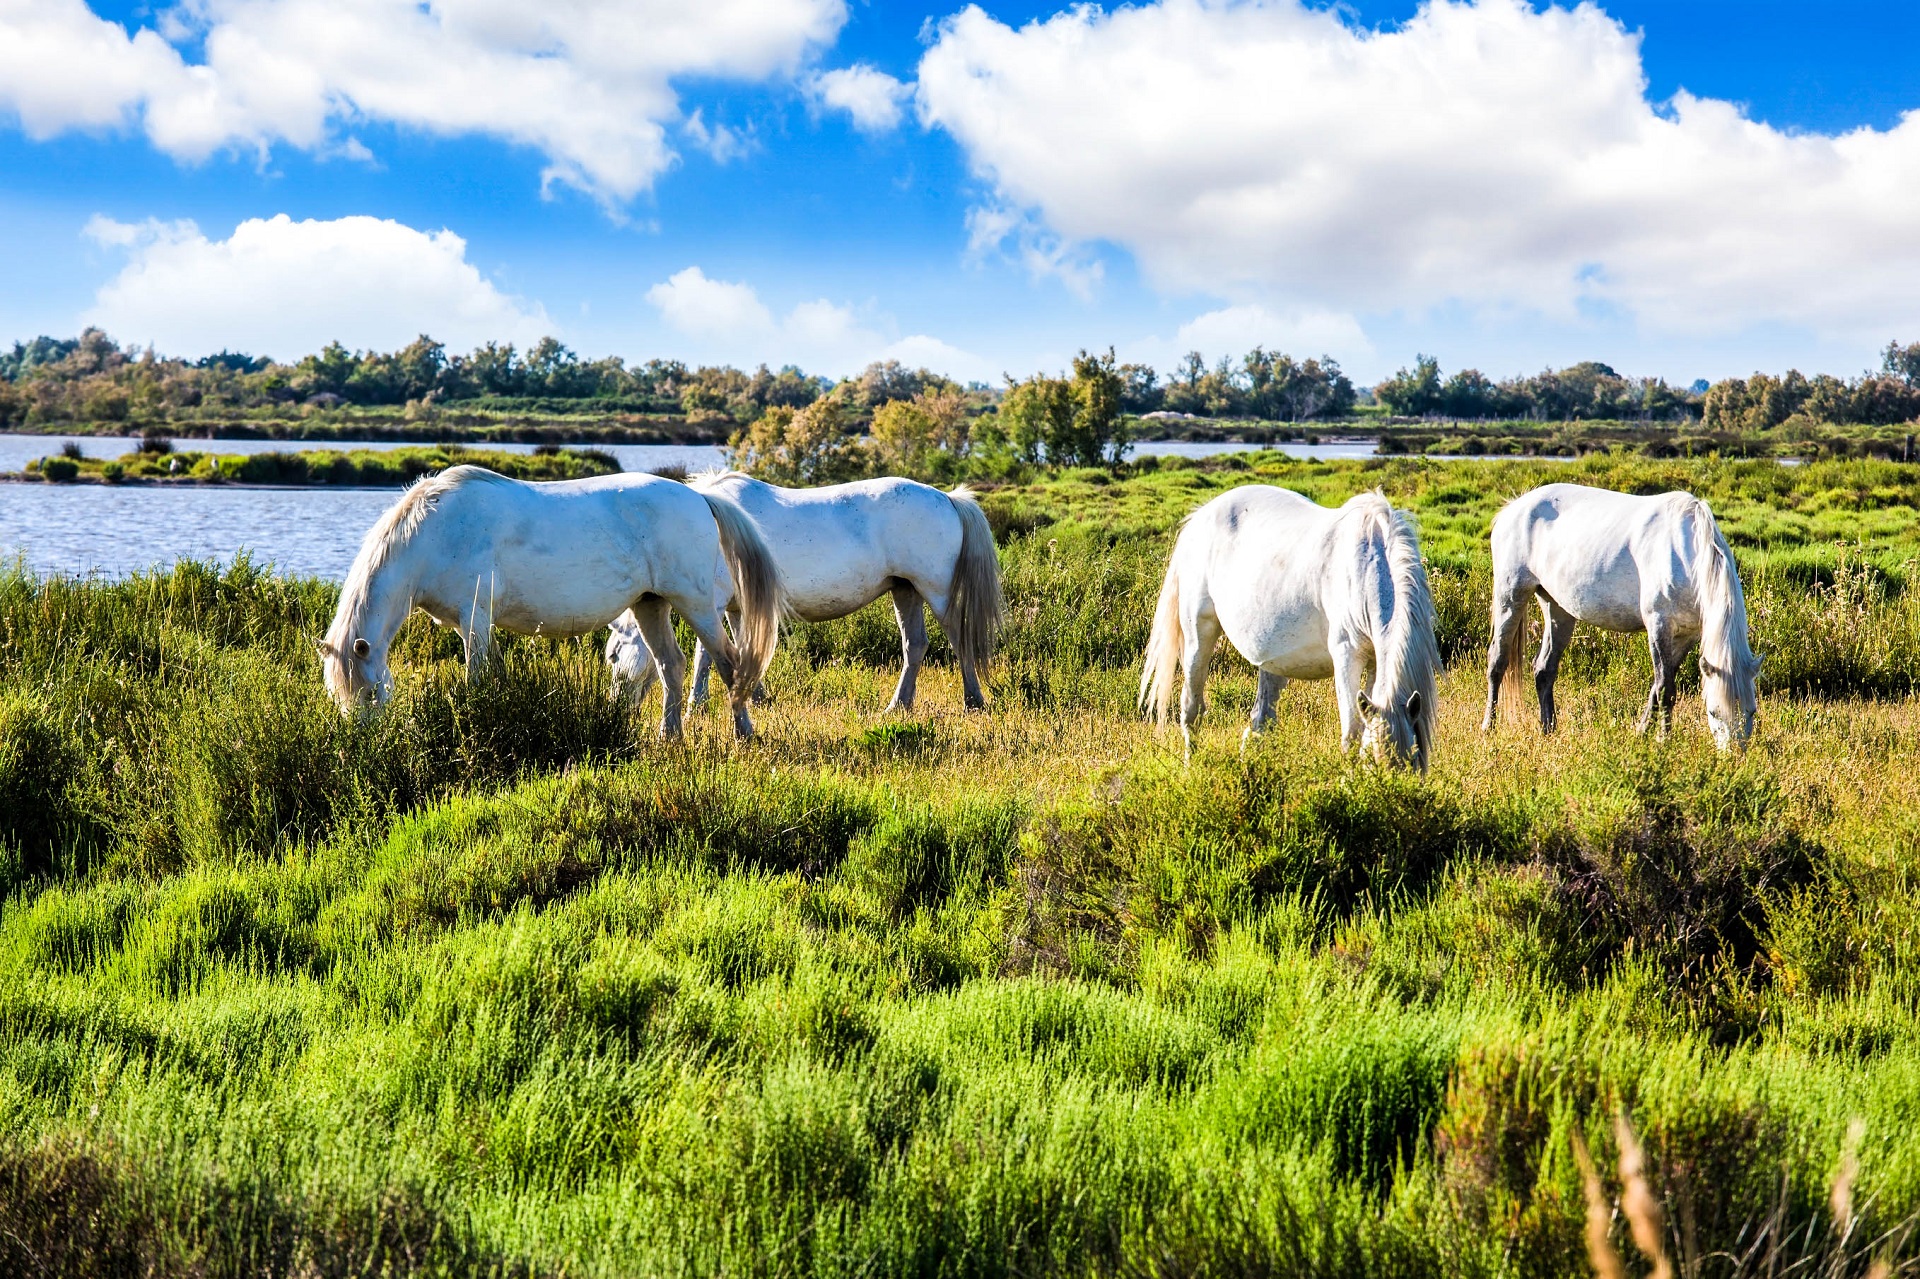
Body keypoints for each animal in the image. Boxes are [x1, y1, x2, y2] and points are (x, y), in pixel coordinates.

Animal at [318, 466, 783, 737]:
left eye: (370, 693)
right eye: (337, 696)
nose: (366, 744)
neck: (436, 532)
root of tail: (701, 498)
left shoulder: (474, 621)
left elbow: (476, 679)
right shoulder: (479, 627)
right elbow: (497, 676)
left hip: (698, 605)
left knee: (729, 664)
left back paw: (744, 734)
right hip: (650, 604)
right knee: (672, 665)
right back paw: (670, 736)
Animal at [606, 468, 1006, 706]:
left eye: (612, 655)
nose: (616, 705)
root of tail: (948, 499)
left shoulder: (712, 604)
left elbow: (707, 654)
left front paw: (696, 705)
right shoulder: (739, 607)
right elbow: (745, 647)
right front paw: (756, 697)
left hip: (935, 590)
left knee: (959, 638)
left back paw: (973, 700)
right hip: (905, 589)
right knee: (915, 645)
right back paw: (899, 705)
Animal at [1136, 483, 1443, 768]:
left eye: (1415, 761)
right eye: (1374, 762)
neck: (1368, 567)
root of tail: (1200, 516)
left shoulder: (1374, 661)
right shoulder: (1347, 655)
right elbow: (1352, 733)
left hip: (1271, 660)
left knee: (1260, 721)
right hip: (1199, 637)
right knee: (1192, 708)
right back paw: (1191, 767)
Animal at [1482, 480, 1766, 748]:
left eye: (1752, 712)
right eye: (1714, 712)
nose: (1734, 755)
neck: (1687, 552)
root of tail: (1513, 508)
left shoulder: (1686, 635)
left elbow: (1657, 688)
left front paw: (1641, 734)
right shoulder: (1659, 625)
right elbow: (1665, 688)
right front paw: (1664, 741)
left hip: (1557, 608)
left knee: (1544, 669)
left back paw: (1548, 730)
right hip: (1511, 596)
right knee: (1497, 660)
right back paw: (1489, 726)